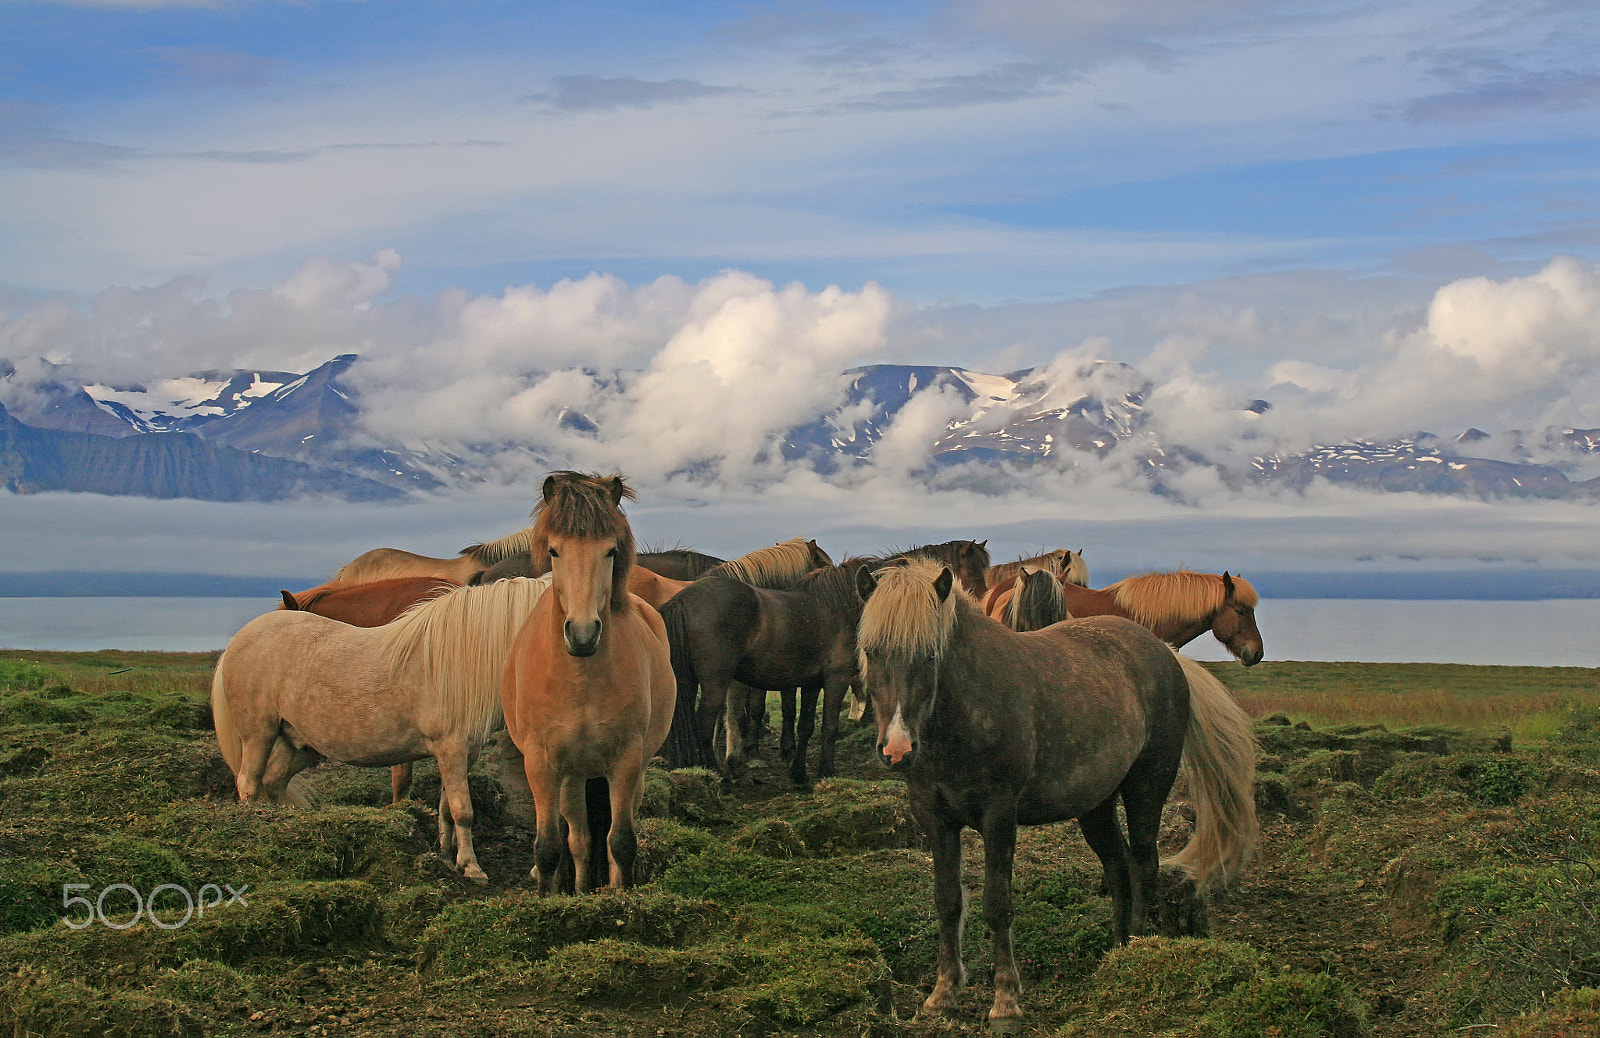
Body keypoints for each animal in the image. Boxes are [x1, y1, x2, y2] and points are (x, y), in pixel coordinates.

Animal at [212, 575, 553, 882]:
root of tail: (238, 640)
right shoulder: (450, 747)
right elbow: (462, 810)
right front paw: (472, 868)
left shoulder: (465, 752)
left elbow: (446, 805)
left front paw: (447, 855)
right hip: (259, 734)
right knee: (248, 783)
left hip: (299, 745)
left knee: (273, 781)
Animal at [502, 473, 672, 895]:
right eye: (554, 551)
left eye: (610, 551)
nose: (582, 634)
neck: (580, 682)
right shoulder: (541, 764)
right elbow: (548, 847)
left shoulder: (626, 760)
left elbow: (621, 841)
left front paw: (620, 897)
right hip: (572, 776)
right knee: (578, 836)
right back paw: (579, 889)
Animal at [857, 559, 1254, 1030]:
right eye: (872, 652)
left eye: (930, 655)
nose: (897, 750)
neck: (966, 709)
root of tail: (1164, 652)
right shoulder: (935, 817)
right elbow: (948, 901)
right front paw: (943, 993)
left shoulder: (998, 816)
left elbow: (997, 903)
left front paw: (1006, 1001)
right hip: (1095, 805)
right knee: (1118, 868)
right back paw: (1116, 954)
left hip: (1146, 787)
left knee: (1143, 864)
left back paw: (1137, 949)